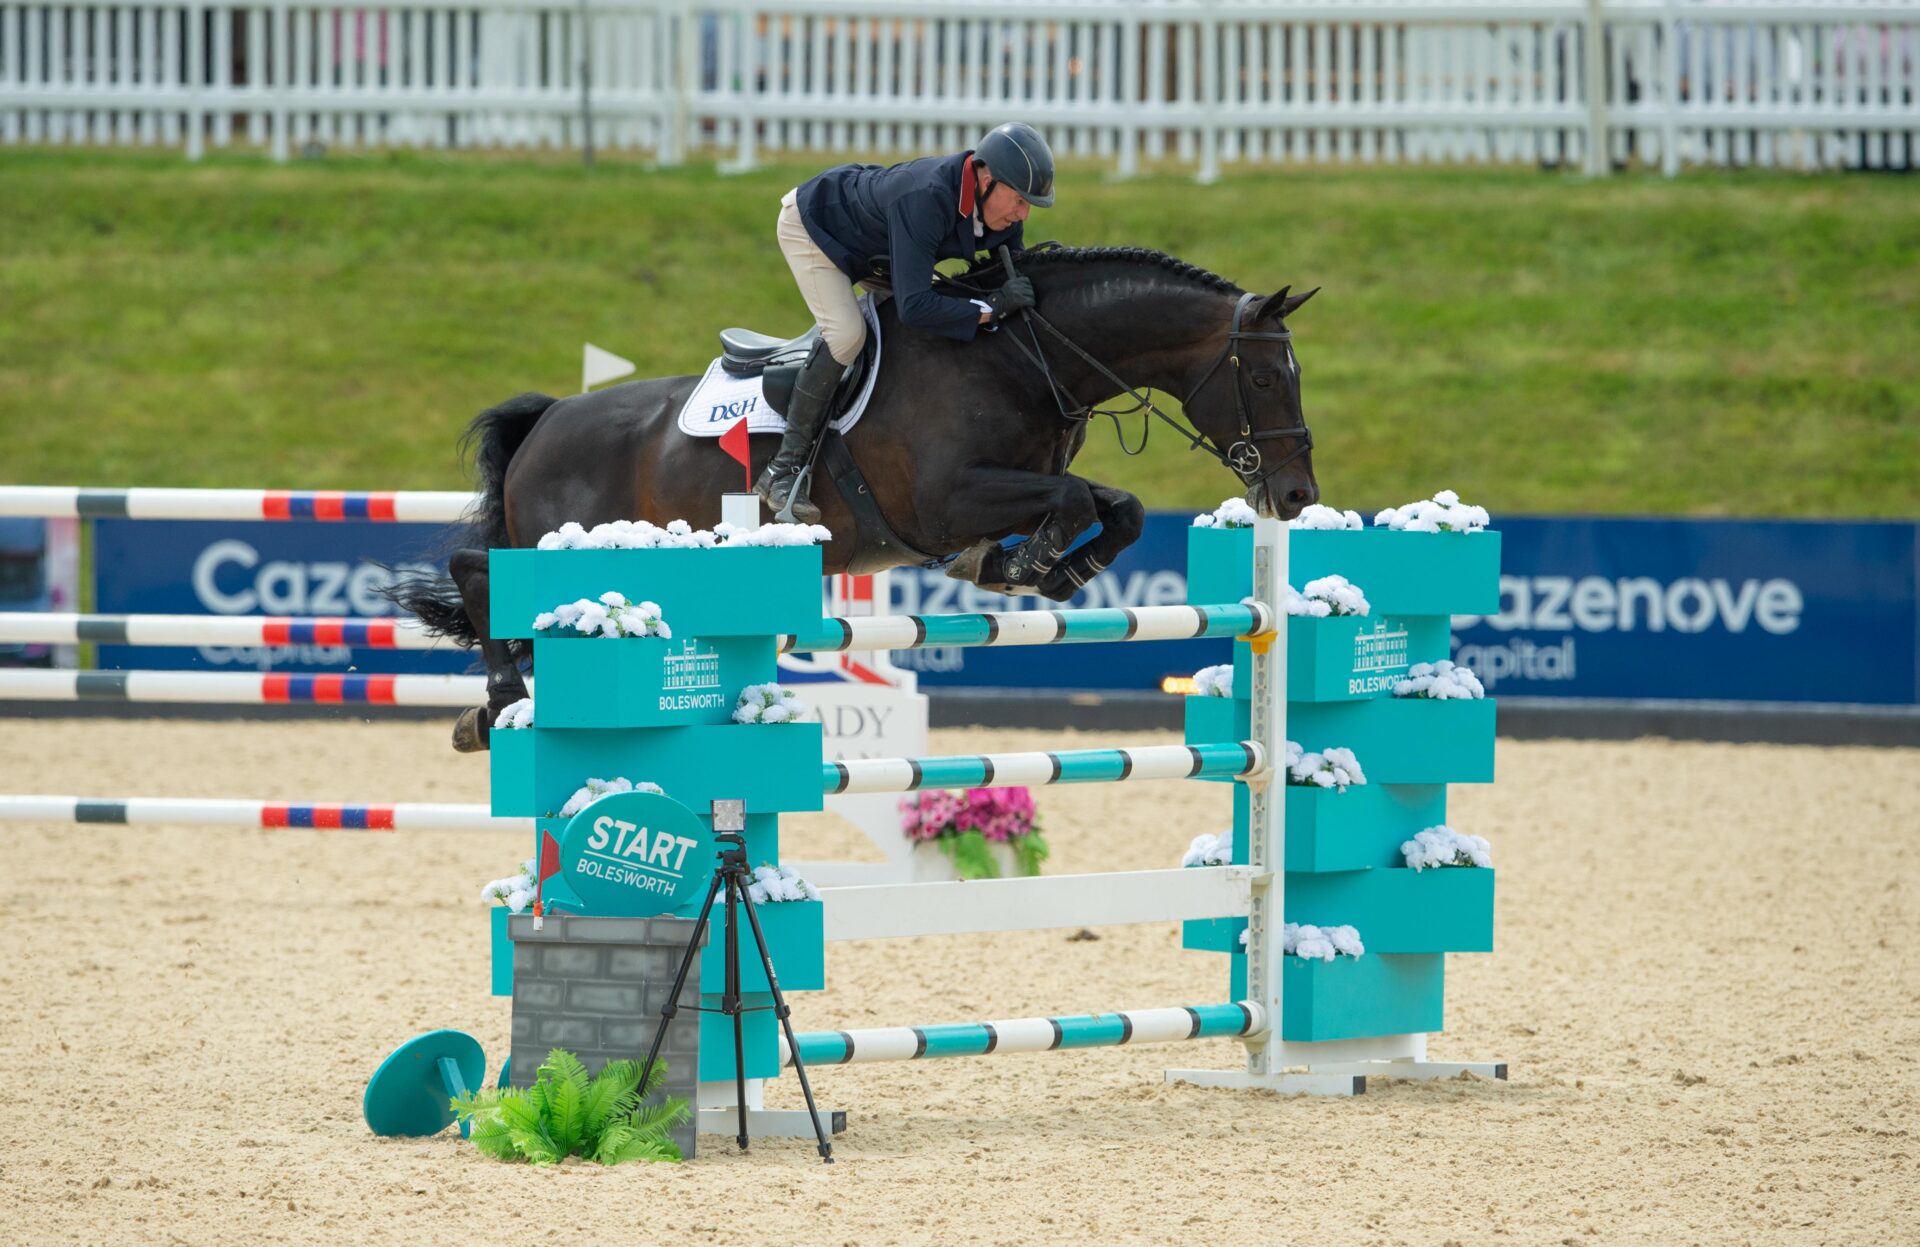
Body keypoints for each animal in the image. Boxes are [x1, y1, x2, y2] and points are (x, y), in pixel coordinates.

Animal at [389, 247, 1320, 745]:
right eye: (1264, 376)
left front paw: (1043, 568)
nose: (1297, 495)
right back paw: (499, 700)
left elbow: (1113, 507)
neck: (1016, 355)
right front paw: (1029, 564)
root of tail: (549, 417)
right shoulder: (948, 499)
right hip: (559, 540)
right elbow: (1077, 503)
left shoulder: (1017, 482)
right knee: (475, 568)